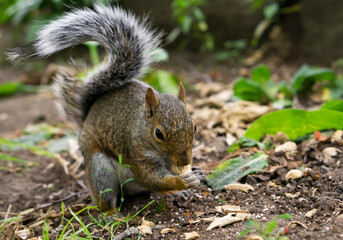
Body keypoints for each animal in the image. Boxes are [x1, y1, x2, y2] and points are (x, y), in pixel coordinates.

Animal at [8, 4, 206, 213]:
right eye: (158, 133)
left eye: (194, 127)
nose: (185, 161)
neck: (142, 127)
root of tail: (88, 115)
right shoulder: (135, 151)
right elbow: (150, 178)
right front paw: (182, 182)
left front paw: (197, 172)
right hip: (99, 168)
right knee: (107, 196)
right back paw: (111, 213)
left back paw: (174, 194)